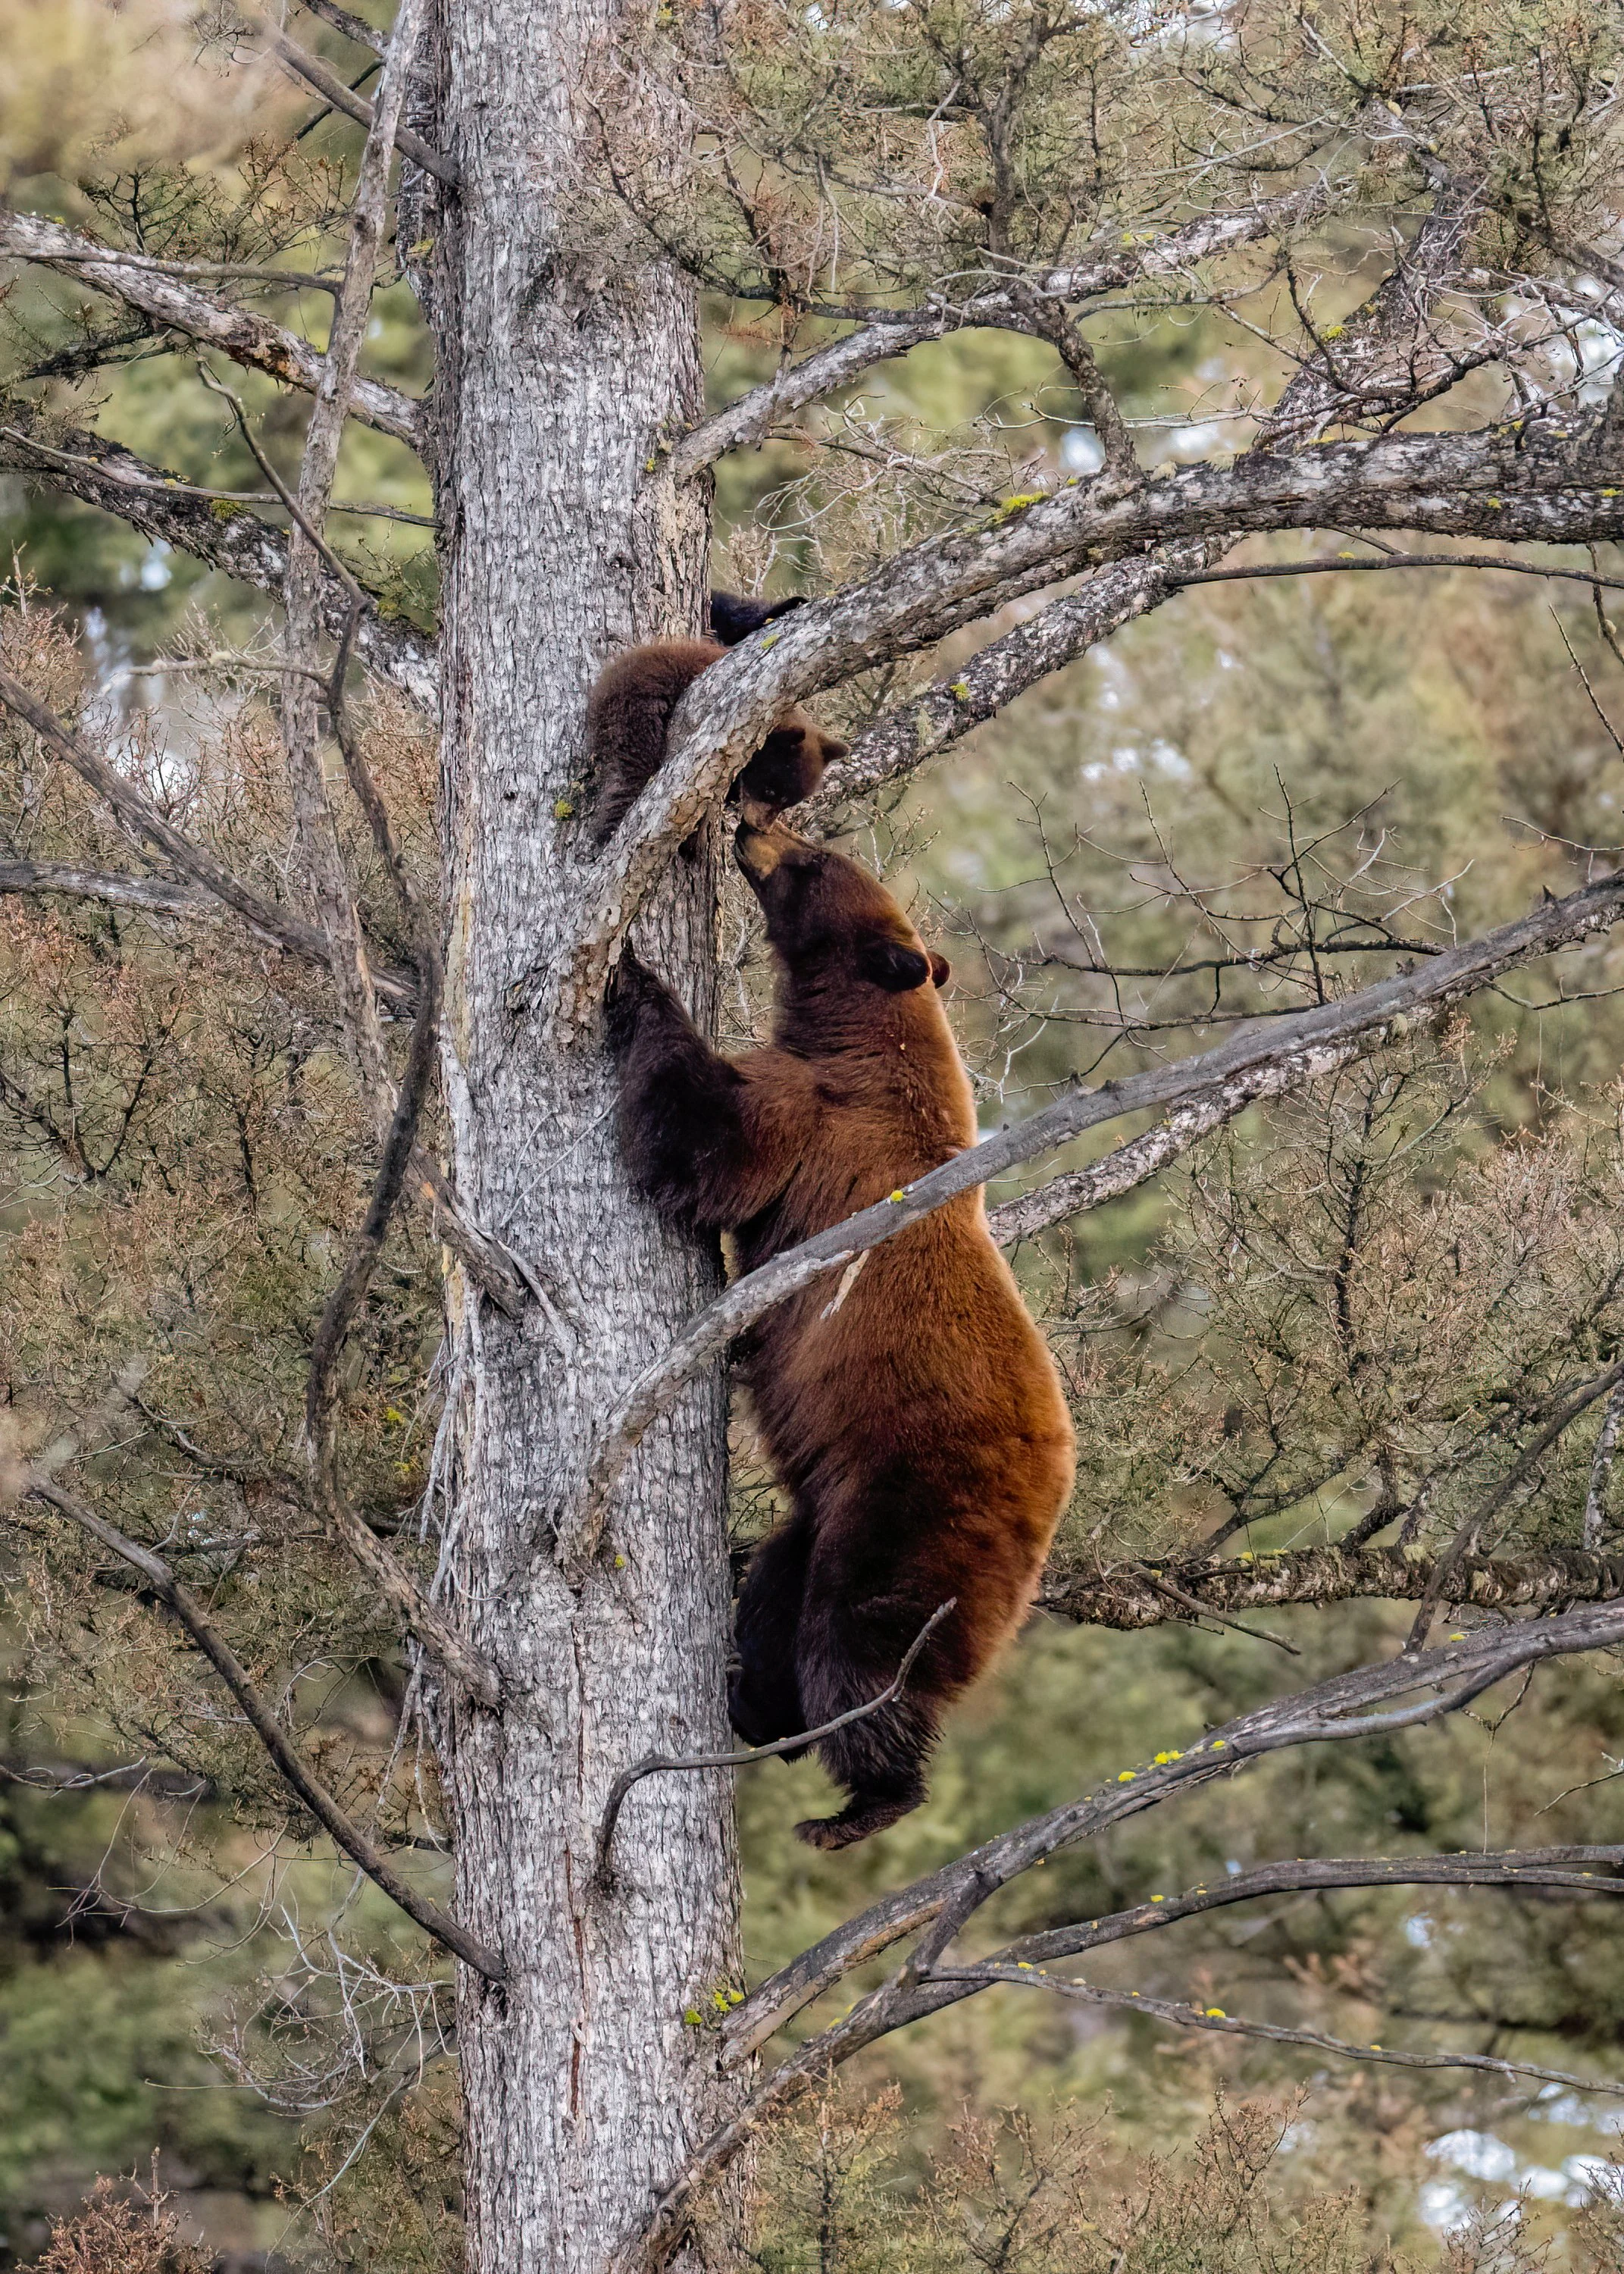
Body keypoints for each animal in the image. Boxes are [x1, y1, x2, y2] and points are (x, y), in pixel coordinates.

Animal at [607, 820, 1076, 1849]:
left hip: (907, 1508)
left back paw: (863, 1799)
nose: (752, 825)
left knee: (855, 1649)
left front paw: (633, 978)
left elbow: (711, 1147)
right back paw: (753, 1705)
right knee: (777, 1597)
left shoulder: (821, 1120)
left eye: (814, 861)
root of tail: (1050, 1505)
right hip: (822, 1512)